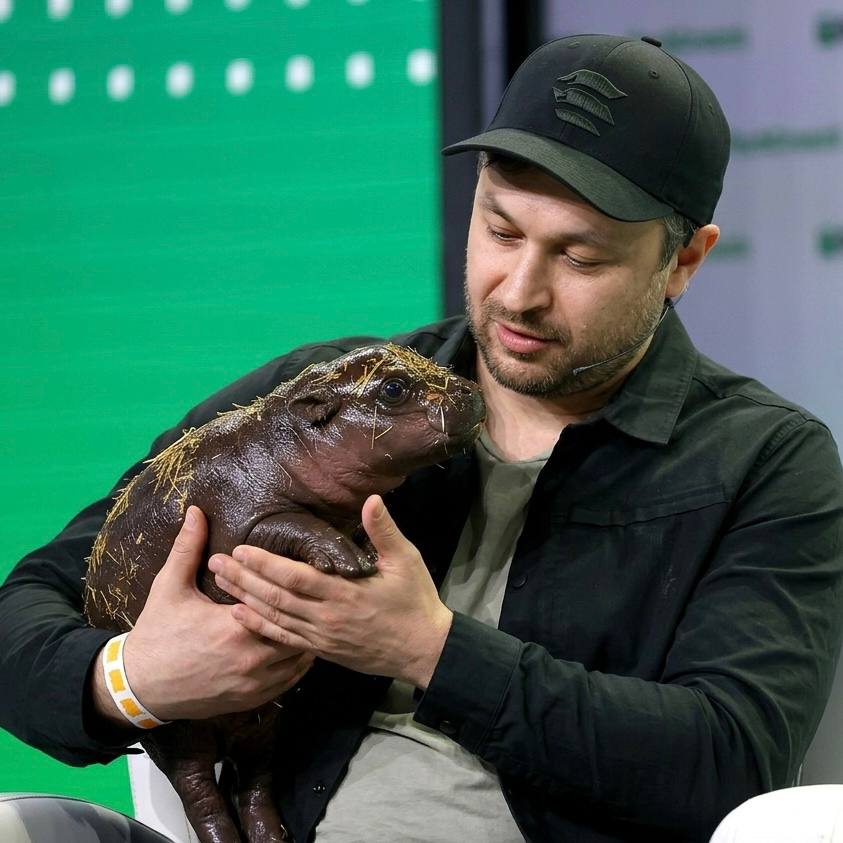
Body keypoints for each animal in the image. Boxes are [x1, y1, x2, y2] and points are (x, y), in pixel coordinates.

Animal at [83, 342, 485, 843]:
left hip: (262, 725)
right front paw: (354, 564)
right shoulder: (245, 524)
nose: (470, 389)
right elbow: (296, 523)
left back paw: (274, 837)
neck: (286, 442)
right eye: (393, 387)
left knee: (255, 786)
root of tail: (223, 737)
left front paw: (369, 551)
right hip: (177, 738)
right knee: (202, 799)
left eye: (414, 355)